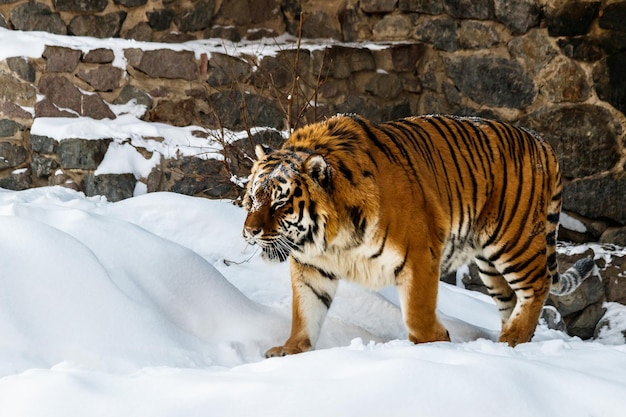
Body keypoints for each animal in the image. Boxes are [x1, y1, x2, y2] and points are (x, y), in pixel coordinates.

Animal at [241, 114, 592, 358]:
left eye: (280, 202)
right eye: (253, 198)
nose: (250, 231)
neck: (330, 239)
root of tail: (542, 141)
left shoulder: (420, 254)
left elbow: (417, 314)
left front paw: (434, 347)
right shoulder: (312, 266)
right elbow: (304, 312)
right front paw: (291, 350)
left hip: (513, 241)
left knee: (538, 284)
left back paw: (513, 339)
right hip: (490, 265)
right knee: (512, 299)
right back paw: (511, 342)